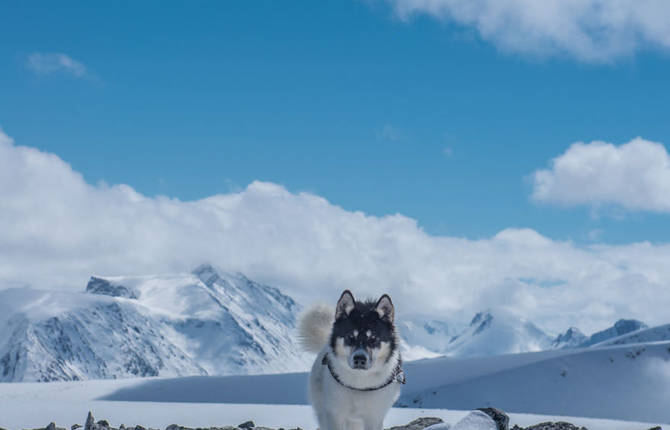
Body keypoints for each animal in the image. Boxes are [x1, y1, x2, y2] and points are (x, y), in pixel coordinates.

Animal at [300, 290, 404, 430]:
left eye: (373, 339)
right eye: (350, 337)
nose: (359, 359)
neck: (359, 383)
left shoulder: (374, 417)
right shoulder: (334, 414)